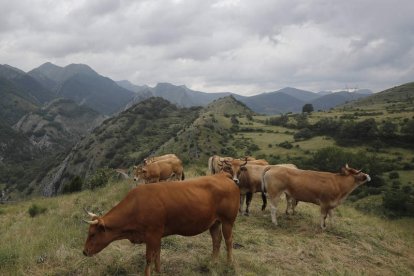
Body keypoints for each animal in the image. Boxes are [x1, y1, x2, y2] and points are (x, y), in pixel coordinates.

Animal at [82, 172, 239, 276]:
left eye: (93, 234)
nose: (84, 251)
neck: (136, 205)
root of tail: (222, 175)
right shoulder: (157, 235)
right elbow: (157, 254)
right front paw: (158, 271)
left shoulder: (152, 234)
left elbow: (149, 257)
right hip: (214, 223)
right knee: (216, 240)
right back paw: (213, 262)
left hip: (228, 220)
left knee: (228, 240)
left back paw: (230, 263)